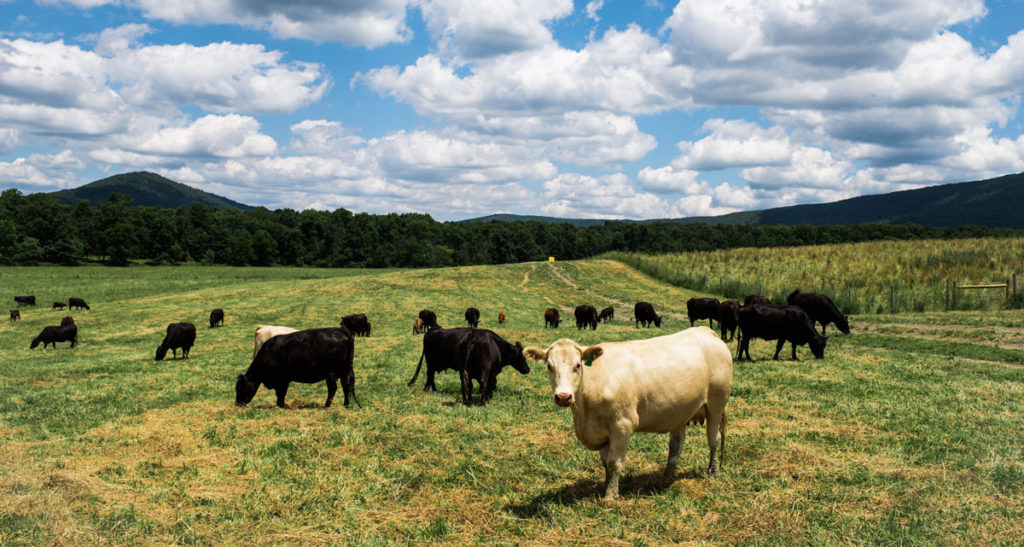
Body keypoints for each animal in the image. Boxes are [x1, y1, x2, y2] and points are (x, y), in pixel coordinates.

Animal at [524, 325, 733, 501]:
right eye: (549, 366)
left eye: (578, 365)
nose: (563, 397)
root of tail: (706, 331)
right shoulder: (601, 432)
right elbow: (605, 464)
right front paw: (606, 487)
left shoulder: (622, 425)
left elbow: (614, 463)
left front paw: (610, 496)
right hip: (680, 411)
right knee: (676, 446)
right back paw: (666, 479)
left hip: (716, 403)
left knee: (713, 440)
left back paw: (713, 472)